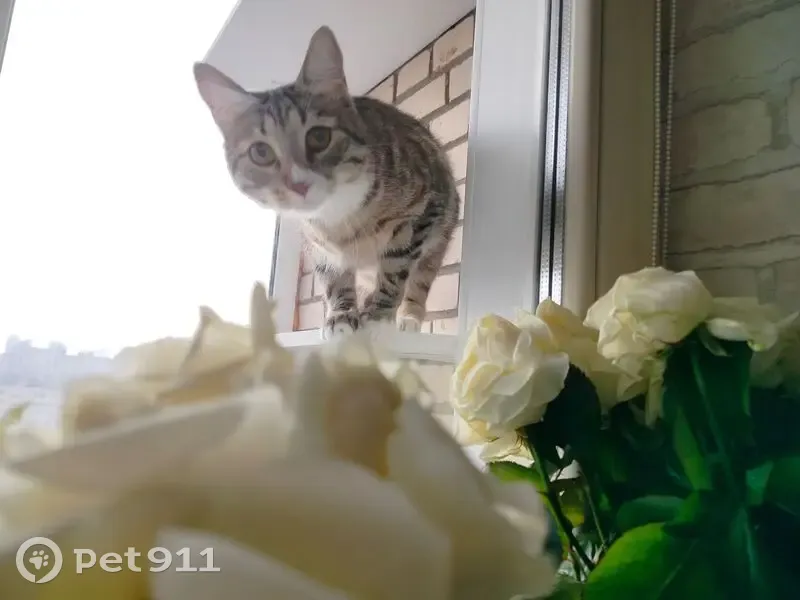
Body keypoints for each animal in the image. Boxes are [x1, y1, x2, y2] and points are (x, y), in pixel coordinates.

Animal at [193, 26, 460, 339]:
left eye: (319, 137)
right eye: (260, 152)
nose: (298, 185)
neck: (338, 216)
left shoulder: (423, 210)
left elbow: (395, 267)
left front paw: (378, 315)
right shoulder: (318, 245)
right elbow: (332, 277)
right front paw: (342, 315)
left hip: (441, 228)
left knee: (422, 276)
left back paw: (408, 317)